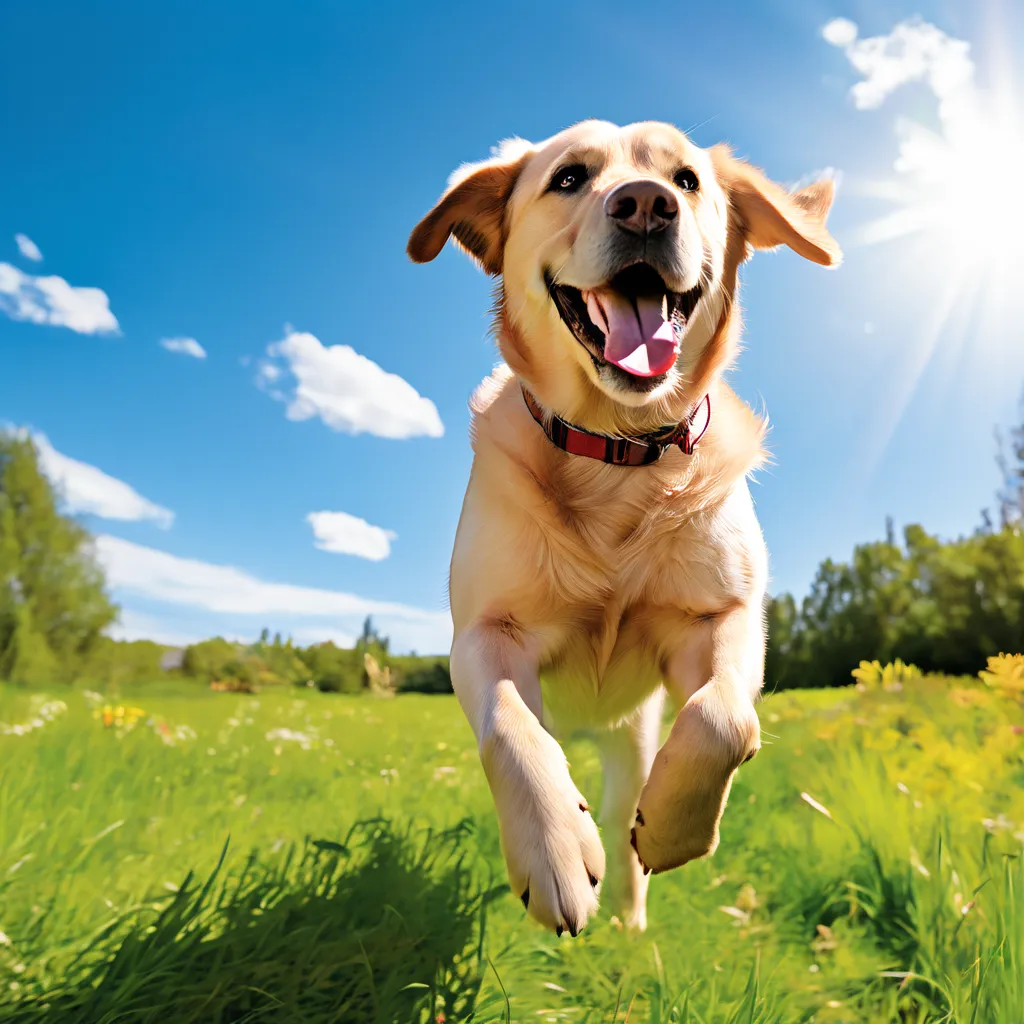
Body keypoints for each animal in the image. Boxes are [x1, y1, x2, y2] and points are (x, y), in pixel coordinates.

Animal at [407, 119, 839, 937]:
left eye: (688, 180)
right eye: (570, 178)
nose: (646, 205)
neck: (616, 447)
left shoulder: (722, 618)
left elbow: (724, 719)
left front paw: (672, 829)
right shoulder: (485, 632)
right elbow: (510, 725)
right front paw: (554, 853)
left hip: (632, 740)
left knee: (622, 809)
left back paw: (633, 917)